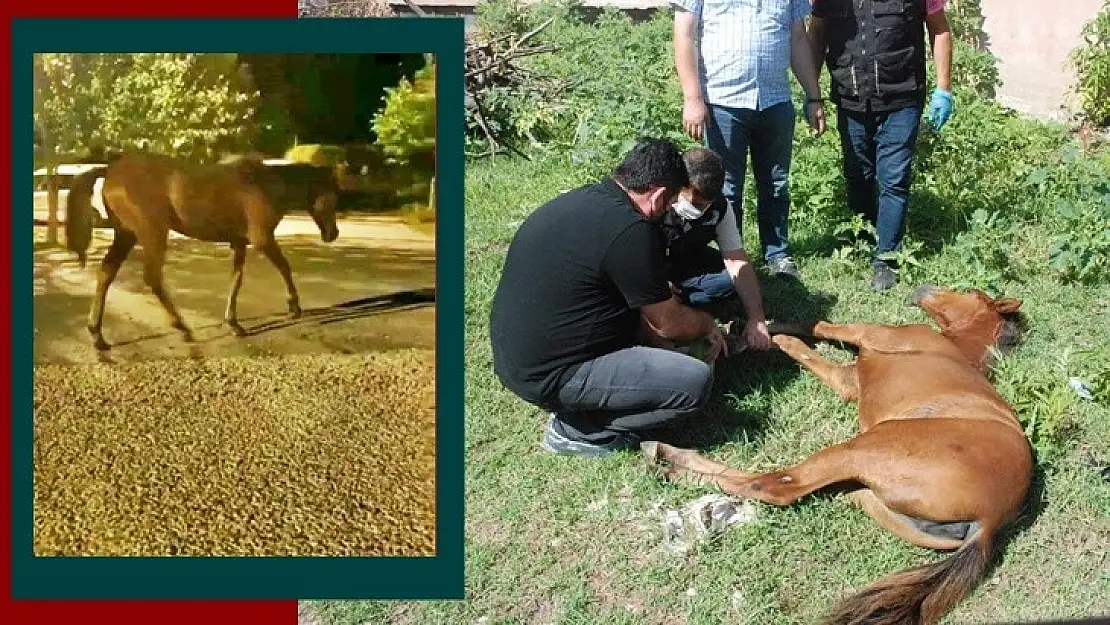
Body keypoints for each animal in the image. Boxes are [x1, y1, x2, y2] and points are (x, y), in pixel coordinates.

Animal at [64, 148, 339, 350]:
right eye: (332, 195)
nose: (332, 234)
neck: (261, 185)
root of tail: (110, 170)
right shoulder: (263, 239)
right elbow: (284, 267)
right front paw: (294, 308)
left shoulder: (239, 243)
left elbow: (236, 280)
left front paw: (234, 324)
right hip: (152, 234)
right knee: (152, 278)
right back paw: (183, 329)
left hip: (126, 235)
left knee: (107, 272)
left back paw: (98, 336)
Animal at [648, 286, 1034, 625]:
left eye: (972, 293)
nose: (923, 290)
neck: (955, 348)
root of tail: (989, 522)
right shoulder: (849, 381)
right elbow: (814, 347)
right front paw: (755, 326)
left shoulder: (869, 335)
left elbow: (821, 327)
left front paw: (766, 333)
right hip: (865, 494)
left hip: (860, 450)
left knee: (776, 486)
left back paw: (671, 462)